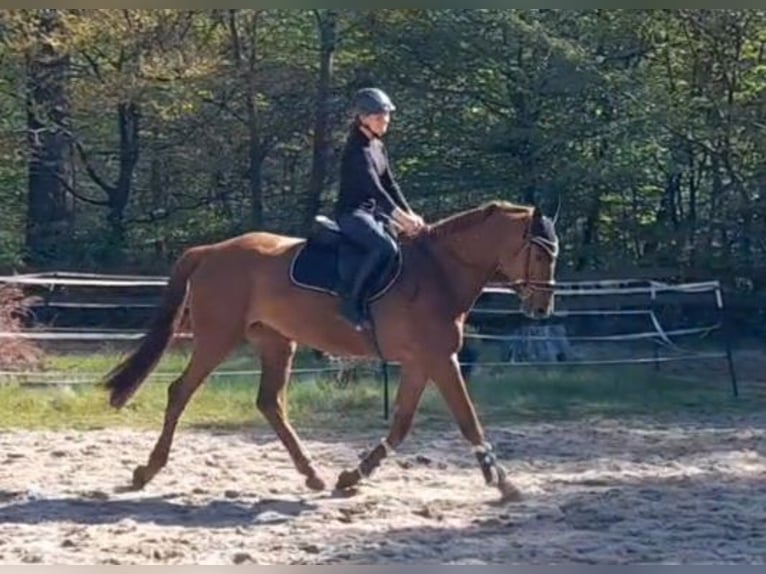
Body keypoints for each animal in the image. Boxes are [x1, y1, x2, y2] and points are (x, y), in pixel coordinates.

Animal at [101, 199, 559, 501]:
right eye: (540, 253)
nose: (542, 308)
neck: (438, 272)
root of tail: (210, 251)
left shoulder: (420, 362)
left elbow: (402, 424)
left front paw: (352, 476)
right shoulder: (439, 360)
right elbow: (468, 421)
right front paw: (503, 482)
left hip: (276, 342)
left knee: (270, 403)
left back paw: (313, 475)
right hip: (217, 339)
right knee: (180, 392)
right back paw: (146, 471)